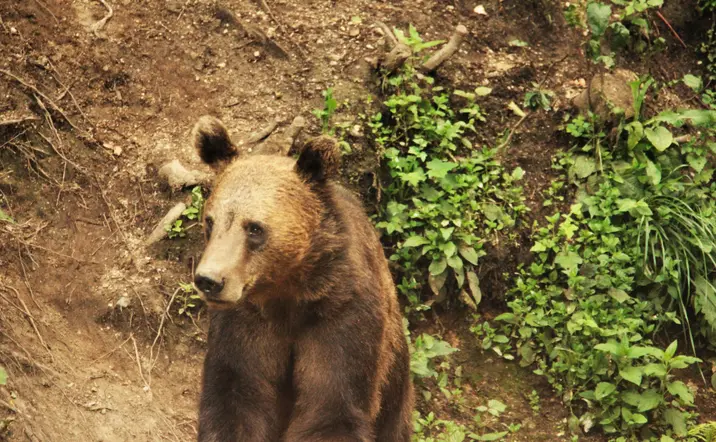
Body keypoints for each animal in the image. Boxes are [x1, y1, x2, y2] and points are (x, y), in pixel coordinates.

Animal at [191, 115, 413, 442]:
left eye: (254, 227)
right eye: (210, 221)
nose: (210, 280)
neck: (290, 291)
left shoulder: (343, 317)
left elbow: (332, 408)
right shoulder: (245, 324)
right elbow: (236, 400)